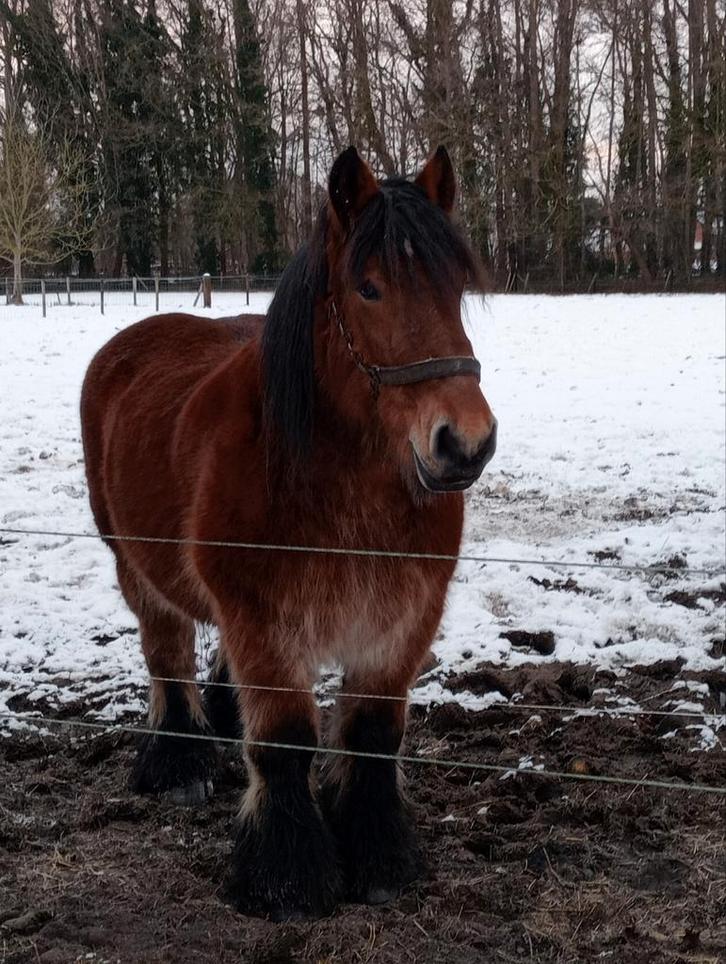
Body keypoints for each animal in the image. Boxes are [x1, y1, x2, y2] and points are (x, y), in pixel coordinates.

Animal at [80, 146, 497, 920]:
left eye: (456, 287)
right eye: (368, 289)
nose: (465, 444)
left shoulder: (402, 620)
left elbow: (371, 737)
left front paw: (380, 857)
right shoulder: (265, 621)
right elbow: (283, 742)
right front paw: (286, 876)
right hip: (135, 567)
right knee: (166, 652)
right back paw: (179, 762)